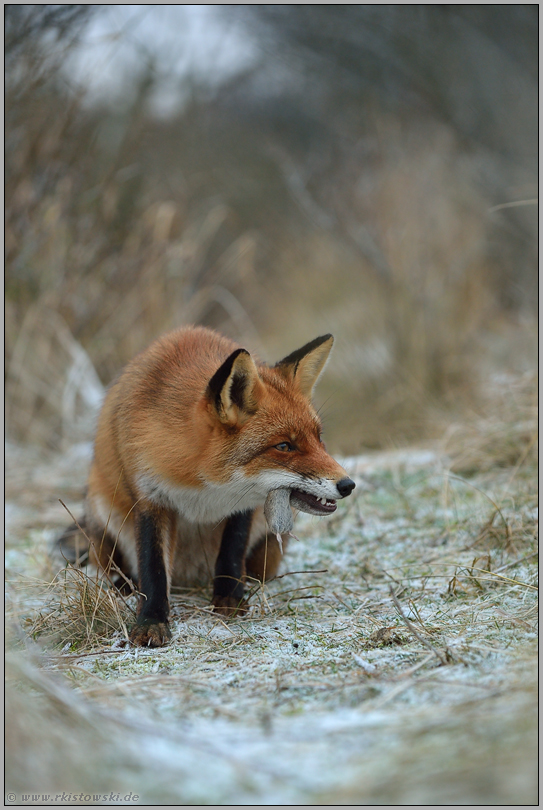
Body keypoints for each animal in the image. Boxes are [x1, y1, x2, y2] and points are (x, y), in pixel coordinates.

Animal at [58, 326, 356, 648]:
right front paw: (151, 621)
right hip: (104, 524)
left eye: (318, 438)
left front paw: (230, 599)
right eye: (284, 446)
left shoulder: (244, 504)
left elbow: (231, 552)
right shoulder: (149, 497)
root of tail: (190, 579)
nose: (348, 484)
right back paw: (124, 587)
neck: (204, 487)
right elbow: (153, 567)